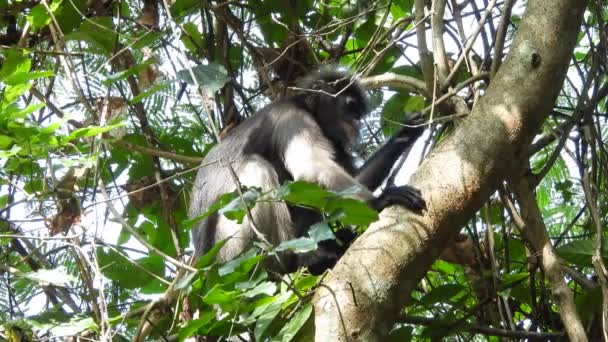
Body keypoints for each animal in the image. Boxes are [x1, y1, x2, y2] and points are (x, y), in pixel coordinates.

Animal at [189, 67, 422, 276]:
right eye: (349, 106)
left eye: (357, 113)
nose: (356, 123)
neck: (306, 107)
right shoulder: (293, 118)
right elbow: (312, 167)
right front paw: (379, 201)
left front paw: (406, 132)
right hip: (232, 253)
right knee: (257, 167)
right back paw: (293, 260)